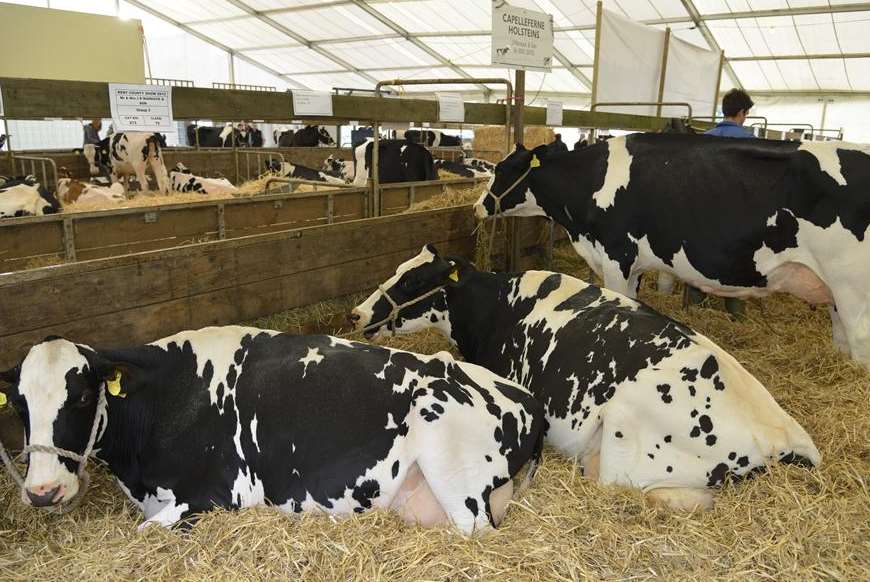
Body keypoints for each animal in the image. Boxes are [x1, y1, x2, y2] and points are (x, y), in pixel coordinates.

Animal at [476, 137, 870, 370]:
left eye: (501, 169)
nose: (478, 207)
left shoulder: (617, 255)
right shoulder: (633, 265)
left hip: (852, 284)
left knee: (860, 340)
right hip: (832, 287)